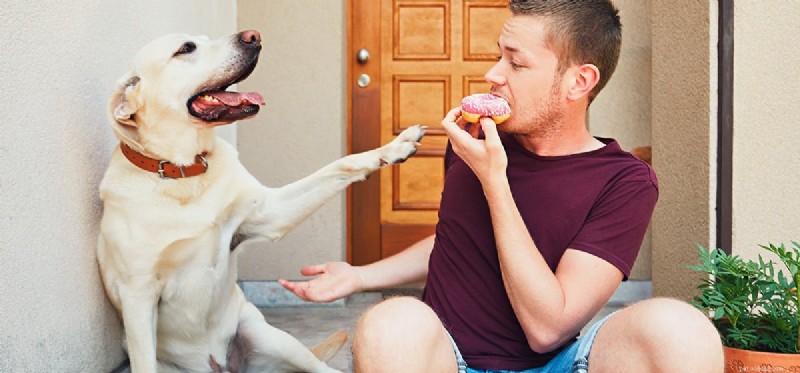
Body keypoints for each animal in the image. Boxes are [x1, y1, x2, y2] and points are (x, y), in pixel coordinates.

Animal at [96, 29, 424, 372]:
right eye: (186, 48)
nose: (252, 36)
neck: (184, 174)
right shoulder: (138, 295)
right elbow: (143, 357)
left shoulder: (268, 214)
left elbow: (339, 165)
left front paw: (392, 148)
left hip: (267, 336)